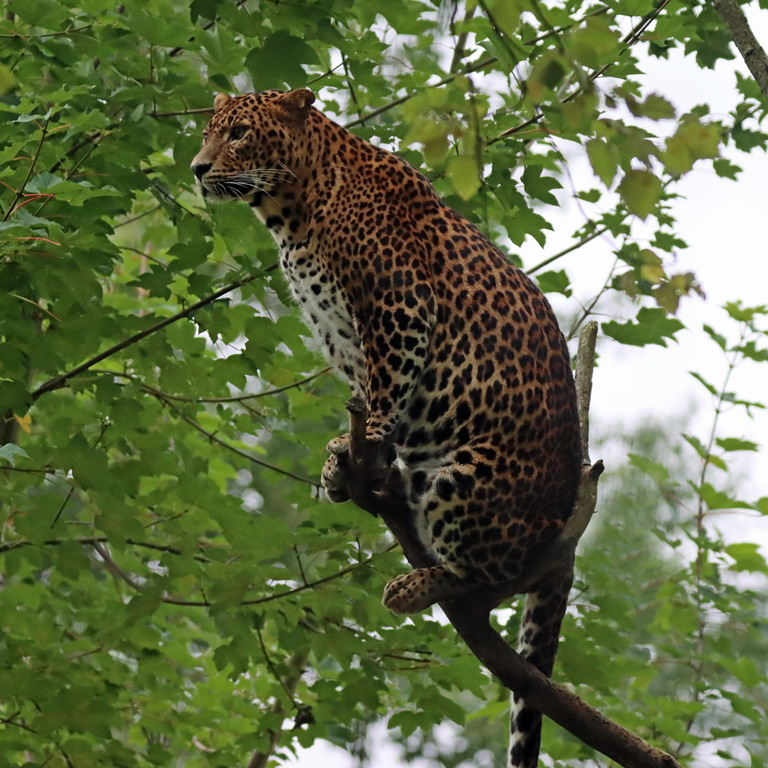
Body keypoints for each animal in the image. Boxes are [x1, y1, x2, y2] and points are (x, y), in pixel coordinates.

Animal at [192, 88, 582, 768]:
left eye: (238, 133)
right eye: (211, 132)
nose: (196, 168)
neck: (292, 210)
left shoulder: (398, 309)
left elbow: (385, 391)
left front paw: (366, 440)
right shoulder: (340, 334)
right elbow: (362, 393)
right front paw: (339, 459)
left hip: (466, 479)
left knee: (496, 572)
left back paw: (415, 584)